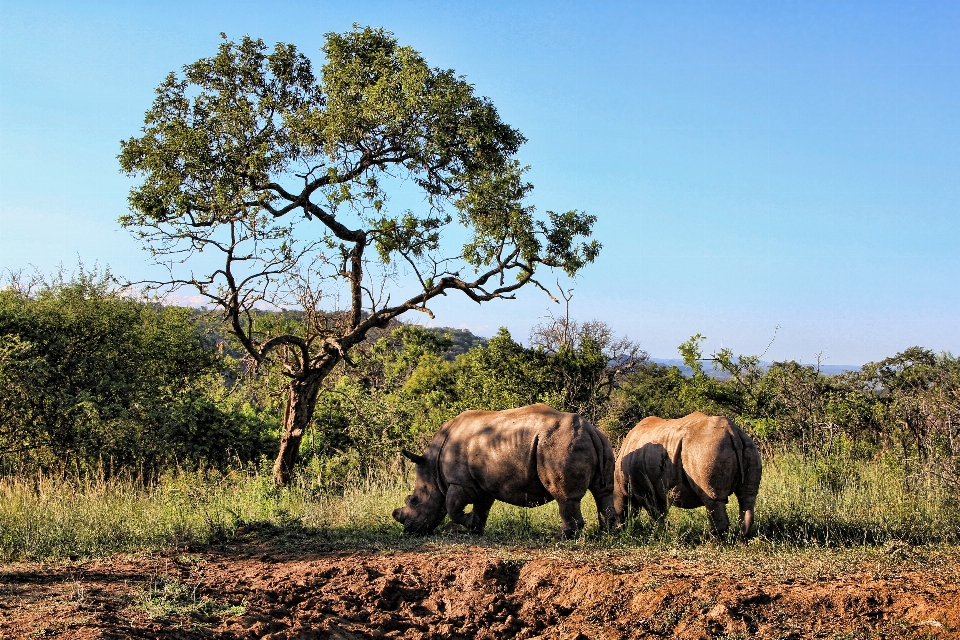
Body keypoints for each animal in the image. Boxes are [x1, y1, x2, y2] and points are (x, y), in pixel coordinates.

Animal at [396, 402, 616, 536]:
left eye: (414, 501)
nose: (409, 529)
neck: (432, 469)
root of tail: (589, 429)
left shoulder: (459, 482)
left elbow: (453, 507)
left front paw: (463, 524)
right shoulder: (482, 484)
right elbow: (481, 508)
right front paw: (474, 528)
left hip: (560, 444)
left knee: (565, 497)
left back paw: (561, 536)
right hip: (601, 441)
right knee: (603, 491)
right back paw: (607, 532)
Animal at [620, 412, 760, 544]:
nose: (619, 528)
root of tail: (733, 432)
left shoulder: (644, 490)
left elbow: (656, 514)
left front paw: (659, 533)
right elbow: (660, 513)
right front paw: (662, 532)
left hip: (707, 449)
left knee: (712, 500)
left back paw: (715, 543)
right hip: (748, 445)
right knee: (747, 497)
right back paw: (742, 542)